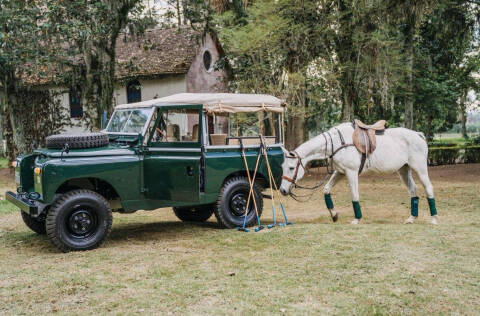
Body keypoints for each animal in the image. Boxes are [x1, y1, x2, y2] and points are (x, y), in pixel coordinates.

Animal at [278, 121, 438, 225]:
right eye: (282, 166)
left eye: (291, 168)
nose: (283, 190)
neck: (337, 143)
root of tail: (418, 134)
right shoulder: (340, 172)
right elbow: (326, 189)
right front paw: (334, 215)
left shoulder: (351, 172)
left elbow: (354, 195)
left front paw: (357, 219)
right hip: (404, 169)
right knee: (413, 190)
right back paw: (411, 218)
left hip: (420, 168)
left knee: (428, 188)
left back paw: (434, 219)